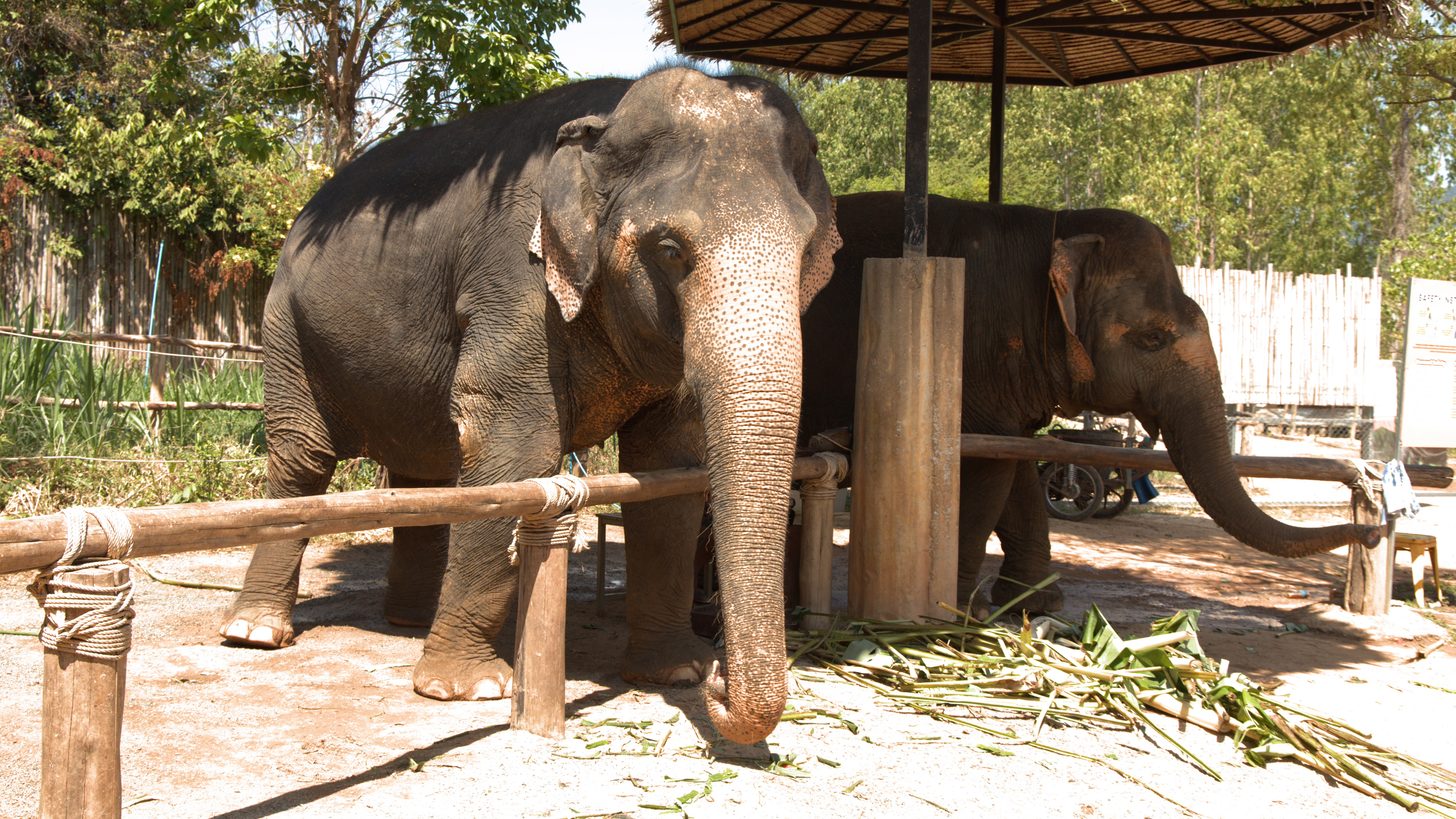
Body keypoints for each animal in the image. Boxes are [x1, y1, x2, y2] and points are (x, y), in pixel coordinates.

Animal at [218, 67, 841, 745]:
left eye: (806, 250)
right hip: (285, 327)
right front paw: (465, 689)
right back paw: (255, 633)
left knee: (424, 468)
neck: (607, 123)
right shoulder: (514, 275)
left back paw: (409, 621)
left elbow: (669, 472)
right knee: (303, 459)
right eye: (671, 248)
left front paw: (676, 673)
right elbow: (514, 447)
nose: (722, 683)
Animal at [798, 191, 1378, 612]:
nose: (1371, 532)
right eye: (1153, 338)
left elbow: (1016, 468)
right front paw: (949, 617)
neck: (1055, 228)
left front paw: (1036, 606)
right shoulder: (971, 344)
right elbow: (982, 472)